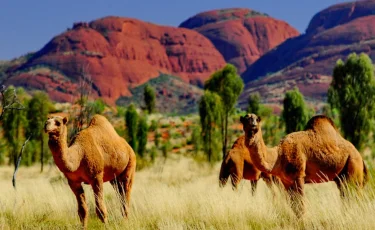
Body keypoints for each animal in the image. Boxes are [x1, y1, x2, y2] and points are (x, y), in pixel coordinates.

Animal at [241, 113, 370, 217]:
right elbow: (294, 207)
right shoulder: (286, 181)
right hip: (341, 177)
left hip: (353, 167)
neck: (278, 156)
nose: (253, 125)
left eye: (257, 119)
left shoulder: (298, 176)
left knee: (354, 196)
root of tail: (361, 157)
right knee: (346, 197)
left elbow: (300, 206)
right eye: (245, 119)